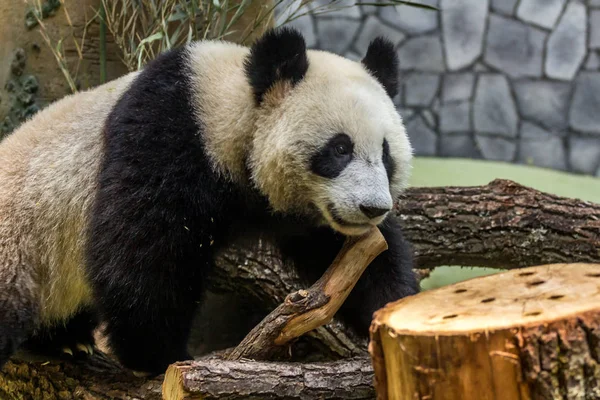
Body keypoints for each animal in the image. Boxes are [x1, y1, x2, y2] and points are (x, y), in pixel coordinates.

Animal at [0, 26, 420, 376]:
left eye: (385, 154)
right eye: (340, 149)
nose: (372, 208)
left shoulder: (306, 215)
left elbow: (357, 259)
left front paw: (394, 314)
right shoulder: (169, 136)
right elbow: (142, 250)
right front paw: (158, 355)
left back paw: (66, 340)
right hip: (20, 246)